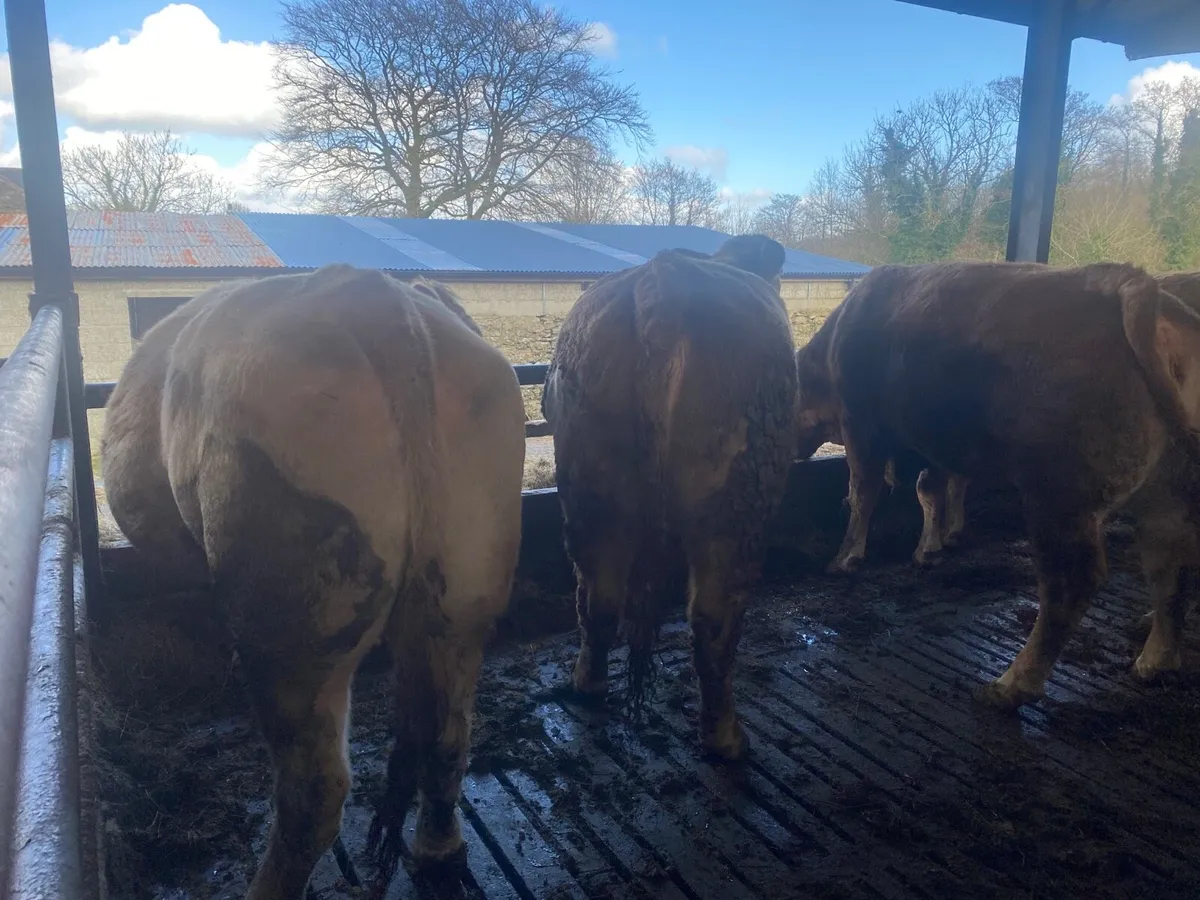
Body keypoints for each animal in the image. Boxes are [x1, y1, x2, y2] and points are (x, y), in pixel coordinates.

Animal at [102, 264, 526, 899]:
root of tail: (375, 297)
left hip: (295, 620)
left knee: (314, 793)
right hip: (465, 586)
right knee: (447, 733)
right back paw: (437, 849)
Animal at [541, 234, 797, 761]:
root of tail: (663, 279)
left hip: (593, 495)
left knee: (597, 595)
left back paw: (588, 684)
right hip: (733, 506)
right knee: (714, 618)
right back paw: (726, 738)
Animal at [794, 260, 1200, 711]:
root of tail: (1130, 283)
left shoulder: (861, 425)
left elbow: (862, 493)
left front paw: (846, 558)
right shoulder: (936, 443)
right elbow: (930, 489)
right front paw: (930, 547)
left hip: (1058, 496)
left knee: (1070, 583)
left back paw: (1012, 685)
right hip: (1167, 492)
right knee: (1171, 563)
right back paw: (1155, 659)